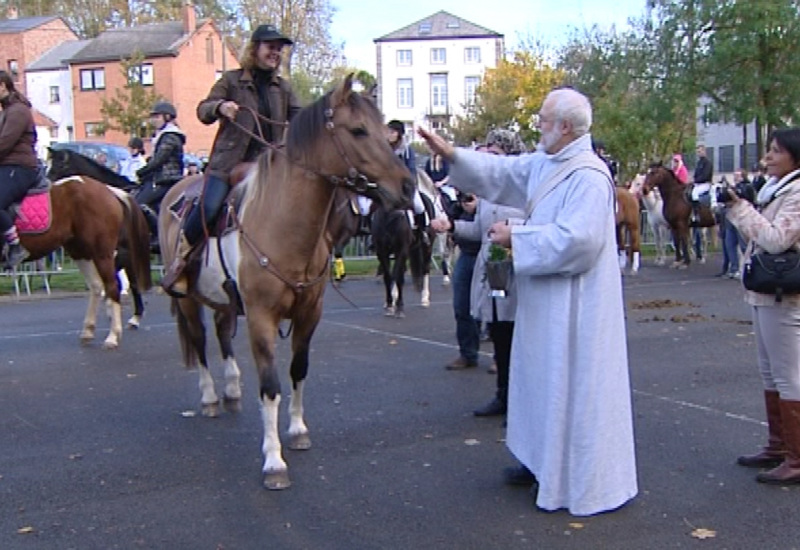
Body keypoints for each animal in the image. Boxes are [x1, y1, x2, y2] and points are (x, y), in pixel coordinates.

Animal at [160, 76, 416, 492]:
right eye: (358, 130)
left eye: (385, 132)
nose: (407, 188)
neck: (284, 225)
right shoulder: (261, 318)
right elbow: (270, 387)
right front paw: (273, 461)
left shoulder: (310, 313)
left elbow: (299, 370)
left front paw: (297, 432)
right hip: (187, 299)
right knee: (199, 342)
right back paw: (211, 397)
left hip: (224, 301)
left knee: (222, 334)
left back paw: (232, 389)